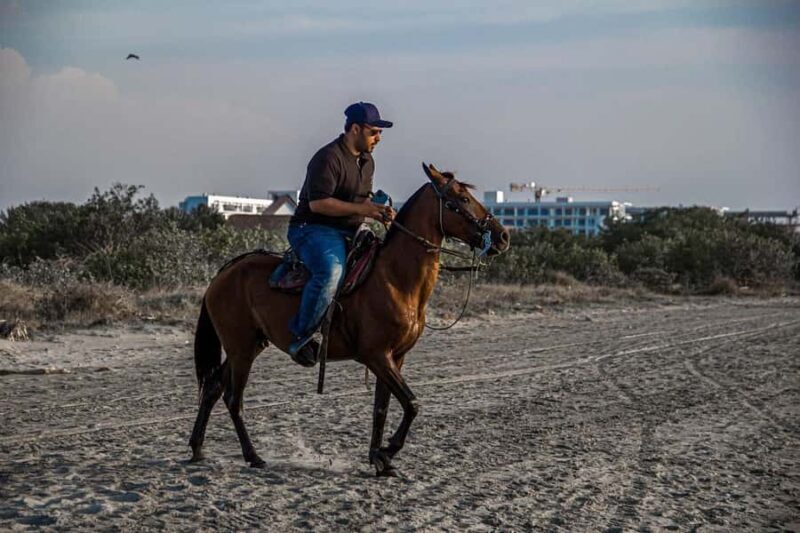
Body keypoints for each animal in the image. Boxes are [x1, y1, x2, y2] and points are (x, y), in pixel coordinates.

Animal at [189, 162, 510, 476]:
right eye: (462, 198)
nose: (503, 236)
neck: (395, 279)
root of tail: (224, 273)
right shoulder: (376, 355)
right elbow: (412, 404)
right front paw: (387, 451)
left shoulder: (396, 357)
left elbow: (382, 408)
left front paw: (380, 460)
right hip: (241, 348)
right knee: (234, 399)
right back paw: (253, 456)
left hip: (251, 344)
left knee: (213, 388)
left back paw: (197, 448)